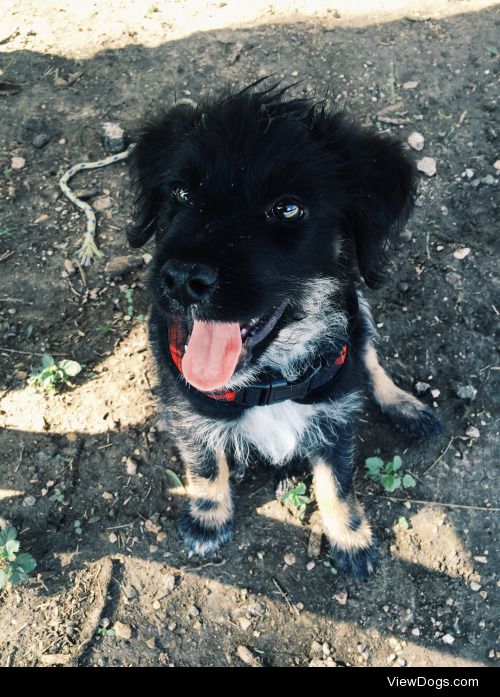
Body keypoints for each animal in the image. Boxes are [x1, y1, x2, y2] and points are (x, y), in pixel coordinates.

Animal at [127, 84, 440, 580]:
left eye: (288, 208)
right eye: (180, 191)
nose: (181, 279)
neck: (269, 381)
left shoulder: (336, 413)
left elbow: (337, 483)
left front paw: (351, 538)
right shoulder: (186, 409)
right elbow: (204, 465)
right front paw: (207, 518)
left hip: (361, 311)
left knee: (370, 358)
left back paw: (406, 406)